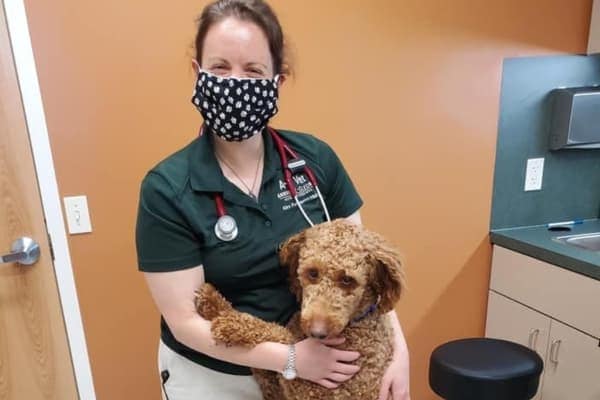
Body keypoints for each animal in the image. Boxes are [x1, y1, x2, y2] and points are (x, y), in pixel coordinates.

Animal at [195, 219, 406, 400]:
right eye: (312, 272)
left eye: (348, 280)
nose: (317, 332)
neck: (356, 323)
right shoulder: (275, 387)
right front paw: (213, 303)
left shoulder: (306, 387)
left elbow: (277, 334)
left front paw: (230, 323)